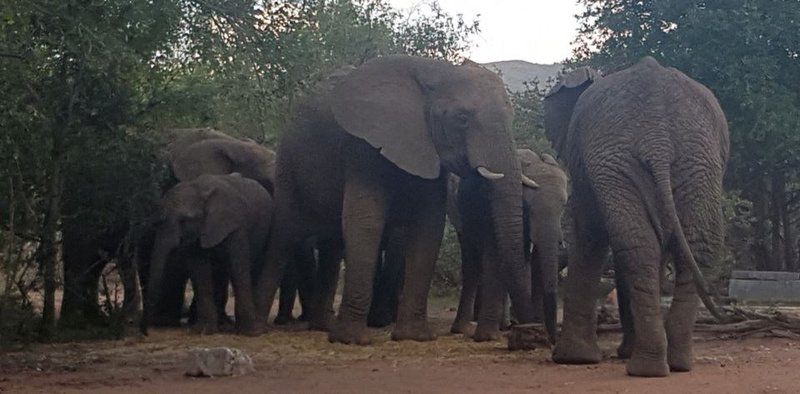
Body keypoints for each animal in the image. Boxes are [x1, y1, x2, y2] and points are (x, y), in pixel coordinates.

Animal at [141, 174, 272, 338]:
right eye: (158, 222)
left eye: (184, 221)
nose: (147, 332)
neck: (200, 189)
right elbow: (199, 272)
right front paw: (202, 330)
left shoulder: (235, 225)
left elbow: (238, 268)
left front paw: (251, 332)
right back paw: (222, 324)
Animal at [256, 55, 536, 344]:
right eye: (462, 119)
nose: (529, 331)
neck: (437, 71)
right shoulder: (364, 144)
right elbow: (366, 221)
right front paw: (353, 340)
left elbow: (429, 226)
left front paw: (414, 336)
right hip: (288, 162)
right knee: (284, 235)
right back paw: (257, 328)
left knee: (331, 245)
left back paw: (322, 327)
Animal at [548, 57, 728, 378]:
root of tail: (658, 140)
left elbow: (588, 233)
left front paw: (573, 359)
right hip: (692, 159)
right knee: (686, 244)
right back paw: (671, 364)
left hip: (648, 160)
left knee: (640, 244)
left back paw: (648, 366)